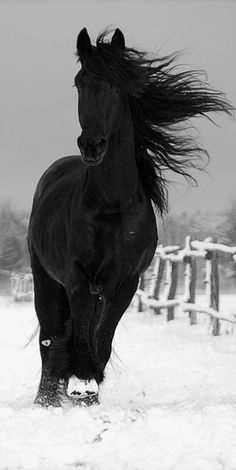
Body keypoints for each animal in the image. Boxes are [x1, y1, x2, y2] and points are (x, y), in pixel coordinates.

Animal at [27, 27, 232, 406]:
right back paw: (47, 398)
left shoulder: (124, 283)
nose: (91, 145)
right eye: (79, 82)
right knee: (49, 334)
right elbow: (78, 333)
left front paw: (88, 389)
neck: (111, 206)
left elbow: (101, 339)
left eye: (117, 86)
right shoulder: (77, 278)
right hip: (45, 278)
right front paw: (79, 382)